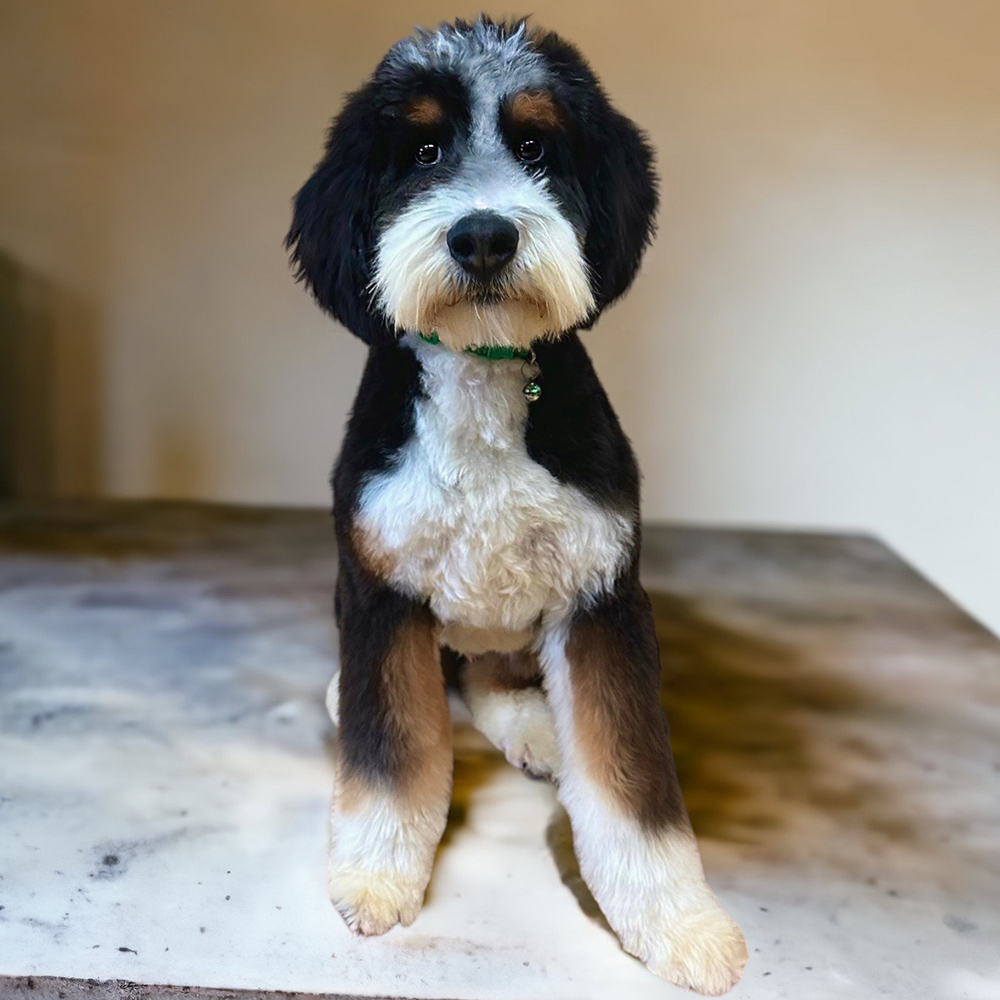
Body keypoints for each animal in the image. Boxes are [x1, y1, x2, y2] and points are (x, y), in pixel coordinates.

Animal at [286, 17, 748, 1000]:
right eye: (423, 151)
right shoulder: (380, 588)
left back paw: (535, 727)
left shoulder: (601, 594)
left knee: (491, 673)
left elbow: (630, 789)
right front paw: (377, 871)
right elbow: (393, 754)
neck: (483, 371)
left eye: (536, 146)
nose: (485, 237)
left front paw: (678, 921)